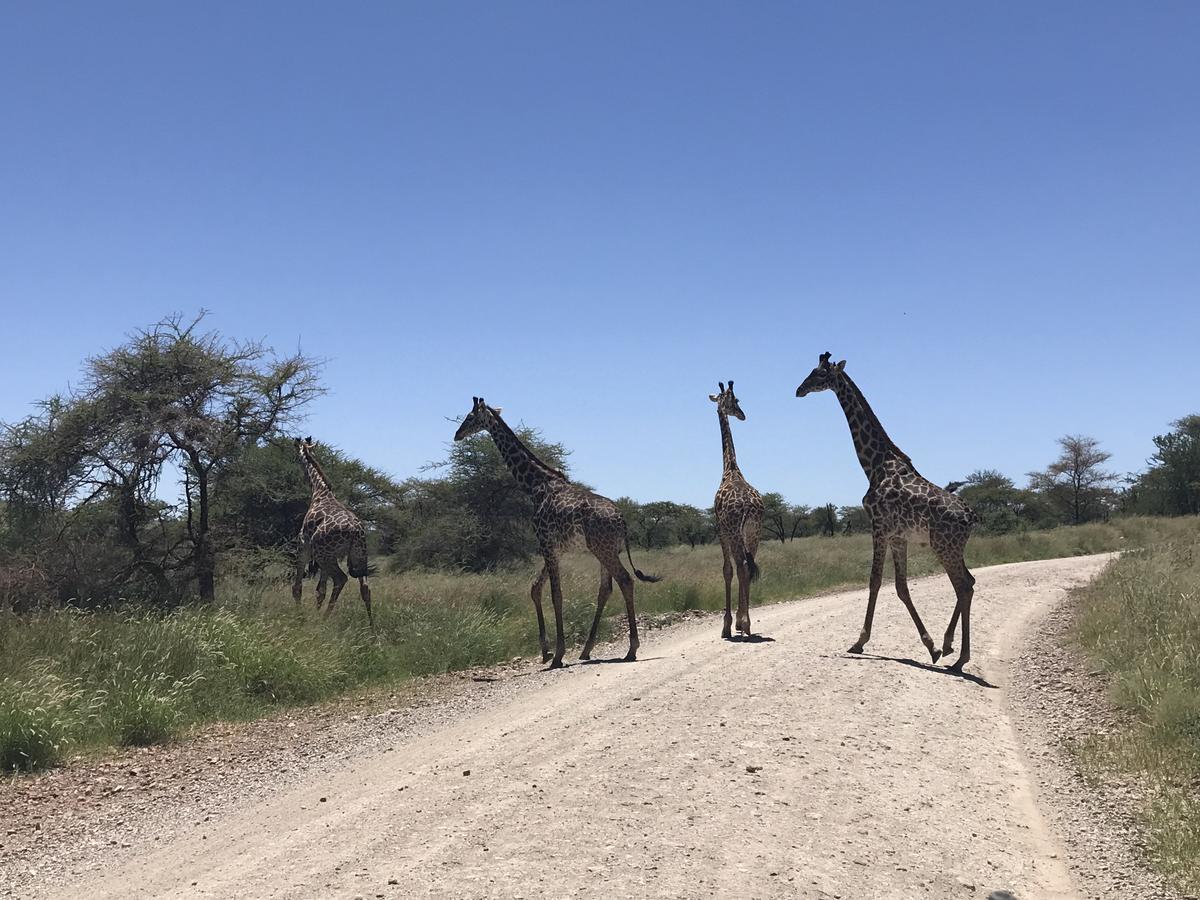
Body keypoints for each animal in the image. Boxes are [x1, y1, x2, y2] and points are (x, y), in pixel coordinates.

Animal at [291, 441, 374, 628]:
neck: (319, 492)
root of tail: (354, 530)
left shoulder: (304, 546)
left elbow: (298, 587)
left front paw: (301, 618)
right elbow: (320, 591)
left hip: (324, 555)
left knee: (341, 579)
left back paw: (323, 620)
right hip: (358, 555)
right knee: (365, 588)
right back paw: (372, 629)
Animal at [451, 400, 662, 672]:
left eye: (469, 417)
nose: (457, 435)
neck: (534, 486)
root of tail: (623, 521)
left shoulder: (546, 544)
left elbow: (556, 594)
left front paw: (558, 655)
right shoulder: (555, 549)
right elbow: (535, 589)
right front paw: (546, 650)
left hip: (602, 549)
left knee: (625, 581)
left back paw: (631, 649)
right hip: (604, 550)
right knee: (606, 589)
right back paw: (587, 650)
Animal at [792, 352, 979, 672]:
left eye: (819, 374)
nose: (799, 390)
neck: (874, 463)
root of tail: (969, 517)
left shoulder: (878, 527)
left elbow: (875, 581)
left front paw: (859, 642)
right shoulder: (898, 536)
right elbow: (901, 587)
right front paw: (931, 647)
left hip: (944, 545)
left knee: (964, 585)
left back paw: (960, 658)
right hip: (952, 547)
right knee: (969, 583)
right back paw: (948, 646)